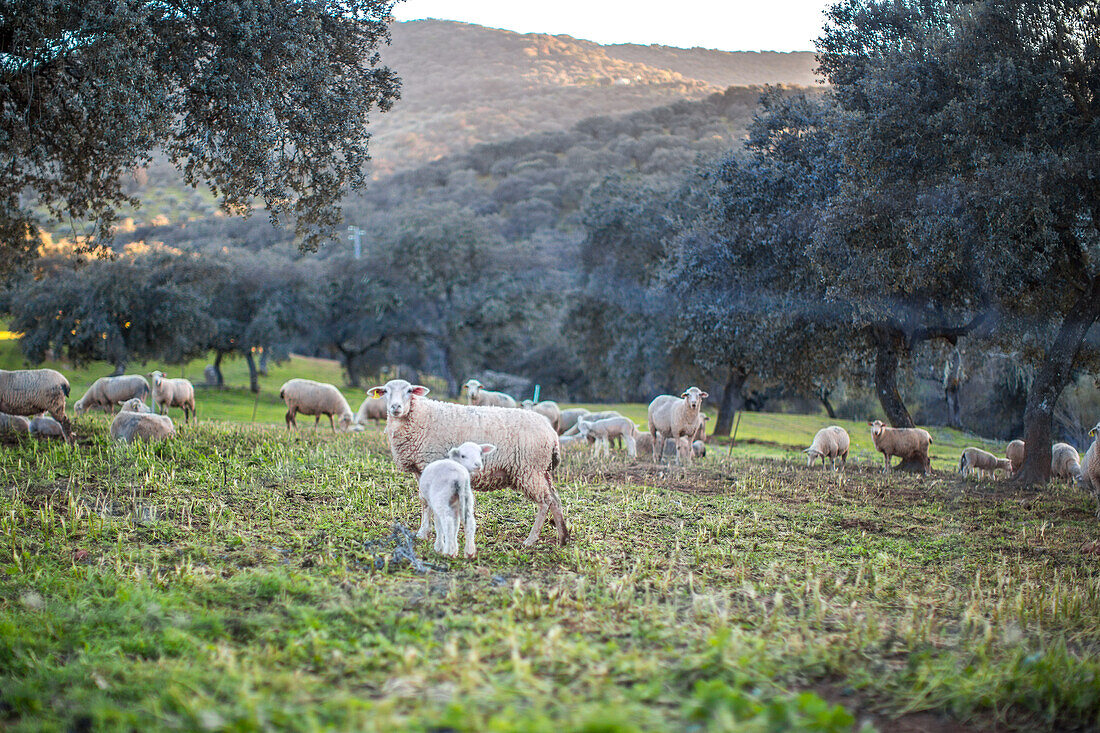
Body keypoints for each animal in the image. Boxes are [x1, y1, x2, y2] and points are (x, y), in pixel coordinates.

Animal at [369, 378, 567, 545]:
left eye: (409, 391)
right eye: (385, 391)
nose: (395, 407)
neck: (420, 417)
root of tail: (551, 433)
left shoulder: (430, 463)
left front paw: (433, 533)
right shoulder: (420, 469)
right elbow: (425, 501)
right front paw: (423, 533)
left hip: (529, 469)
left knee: (545, 501)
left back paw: (531, 540)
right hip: (541, 470)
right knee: (555, 500)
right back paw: (563, 537)